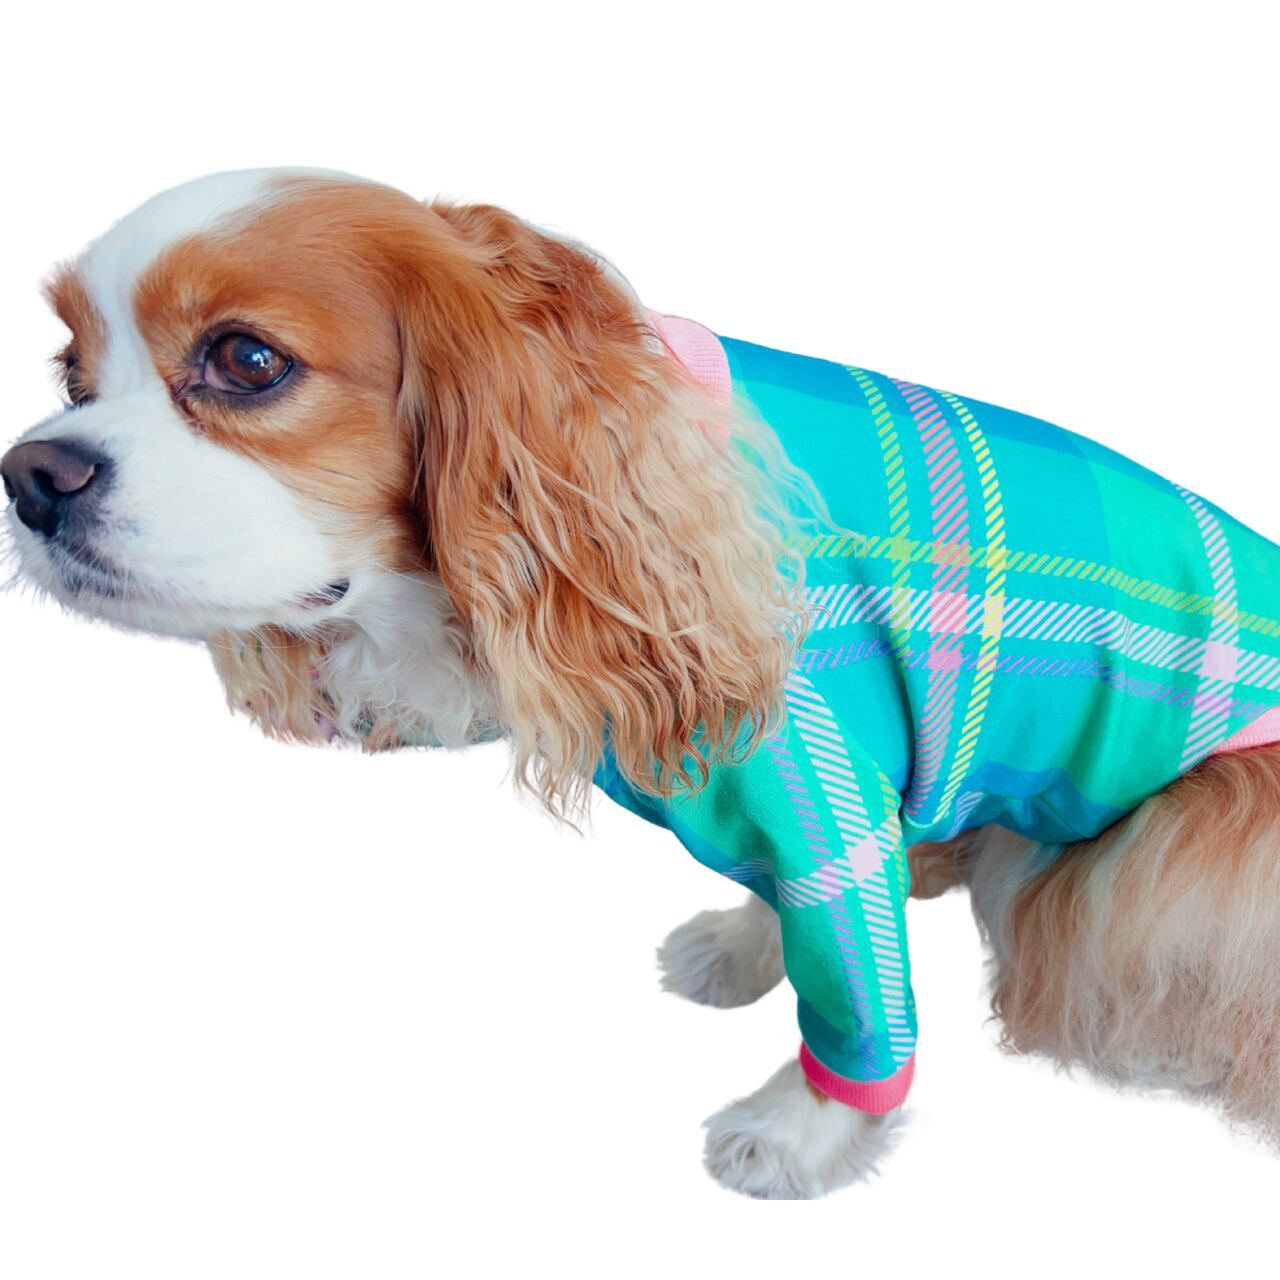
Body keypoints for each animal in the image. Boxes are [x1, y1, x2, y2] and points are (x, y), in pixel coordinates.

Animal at [7, 168, 1280, 1199]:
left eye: (246, 359)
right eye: (70, 371)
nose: (29, 474)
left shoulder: (820, 774)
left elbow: (852, 976)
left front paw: (800, 1130)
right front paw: (743, 944)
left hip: (1175, 843)